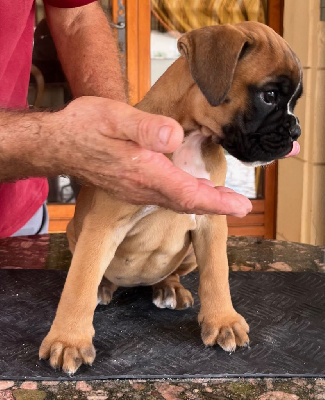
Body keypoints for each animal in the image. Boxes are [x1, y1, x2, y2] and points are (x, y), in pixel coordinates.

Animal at [38, 21, 302, 376]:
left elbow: (217, 274)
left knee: (172, 272)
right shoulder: (102, 227)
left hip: (189, 253)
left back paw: (170, 288)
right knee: (97, 275)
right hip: (74, 234)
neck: (190, 137)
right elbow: (79, 282)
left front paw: (222, 320)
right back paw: (104, 287)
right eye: (269, 96)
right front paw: (69, 340)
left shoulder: (210, 224)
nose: (296, 131)